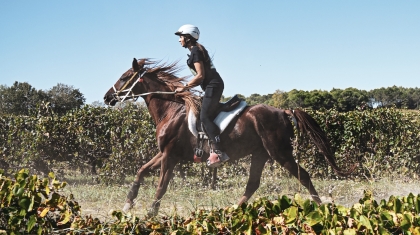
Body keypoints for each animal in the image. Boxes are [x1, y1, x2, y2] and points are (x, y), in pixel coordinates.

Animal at [102, 58, 354, 215]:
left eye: (125, 76)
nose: (107, 97)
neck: (171, 109)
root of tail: (283, 111)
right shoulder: (164, 153)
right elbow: (141, 171)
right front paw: (128, 204)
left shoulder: (169, 156)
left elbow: (161, 186)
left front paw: (150, 213)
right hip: (260, 154)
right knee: (252, 184)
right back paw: (233, 211)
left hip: (280, 153)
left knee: (304, 176)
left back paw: (321, 209)